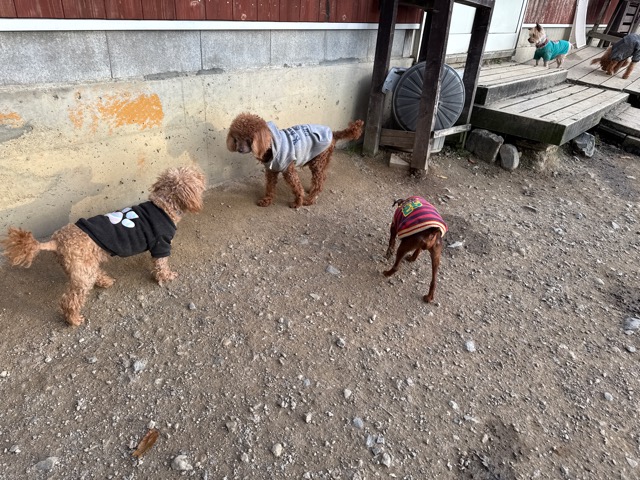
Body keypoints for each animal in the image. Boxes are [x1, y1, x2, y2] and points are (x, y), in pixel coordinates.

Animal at [1, 166, 206, 327]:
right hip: (82, 273)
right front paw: (167, 277)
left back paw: (104, 281)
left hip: (85, 266)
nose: (203, 175)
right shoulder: (161, 244)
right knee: (70, 300)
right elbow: (161, 265)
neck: (164, 205)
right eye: (194, 175)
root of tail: (56, 241)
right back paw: (73, 319)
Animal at [227, 113, 364, 208]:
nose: (239, 149)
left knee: (319, 182)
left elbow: (297, 187)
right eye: (236, 137)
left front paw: (298, 202)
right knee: (322, 178)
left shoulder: (289, 170)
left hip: (317, 162)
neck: (271, 145)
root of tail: (333, 134)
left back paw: (309, 200)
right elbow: (270, 187)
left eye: (249, 138)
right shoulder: (271, 171)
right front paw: (267, 201)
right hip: (322, 160)